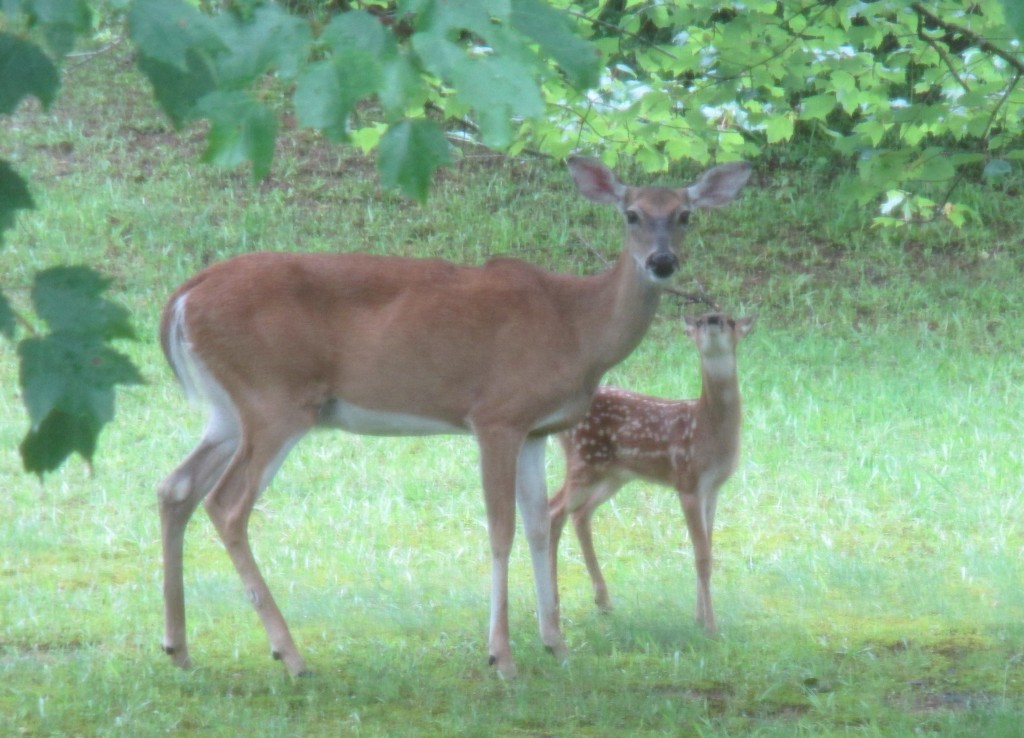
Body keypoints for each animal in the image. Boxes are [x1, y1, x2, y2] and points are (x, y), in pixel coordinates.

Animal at [548, 309, 757, 634]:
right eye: (699, 321)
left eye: (730, 320)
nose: (712, 319)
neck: (708, 428)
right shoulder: (687, 481)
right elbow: (702, 557)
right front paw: (710, 627)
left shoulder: (713, 488)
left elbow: (707, 549)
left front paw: (699, 617)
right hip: (584, 460)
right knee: (553, 510)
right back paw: (554, 608)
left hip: (613, 474)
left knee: (579, 514)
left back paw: (603, 602)